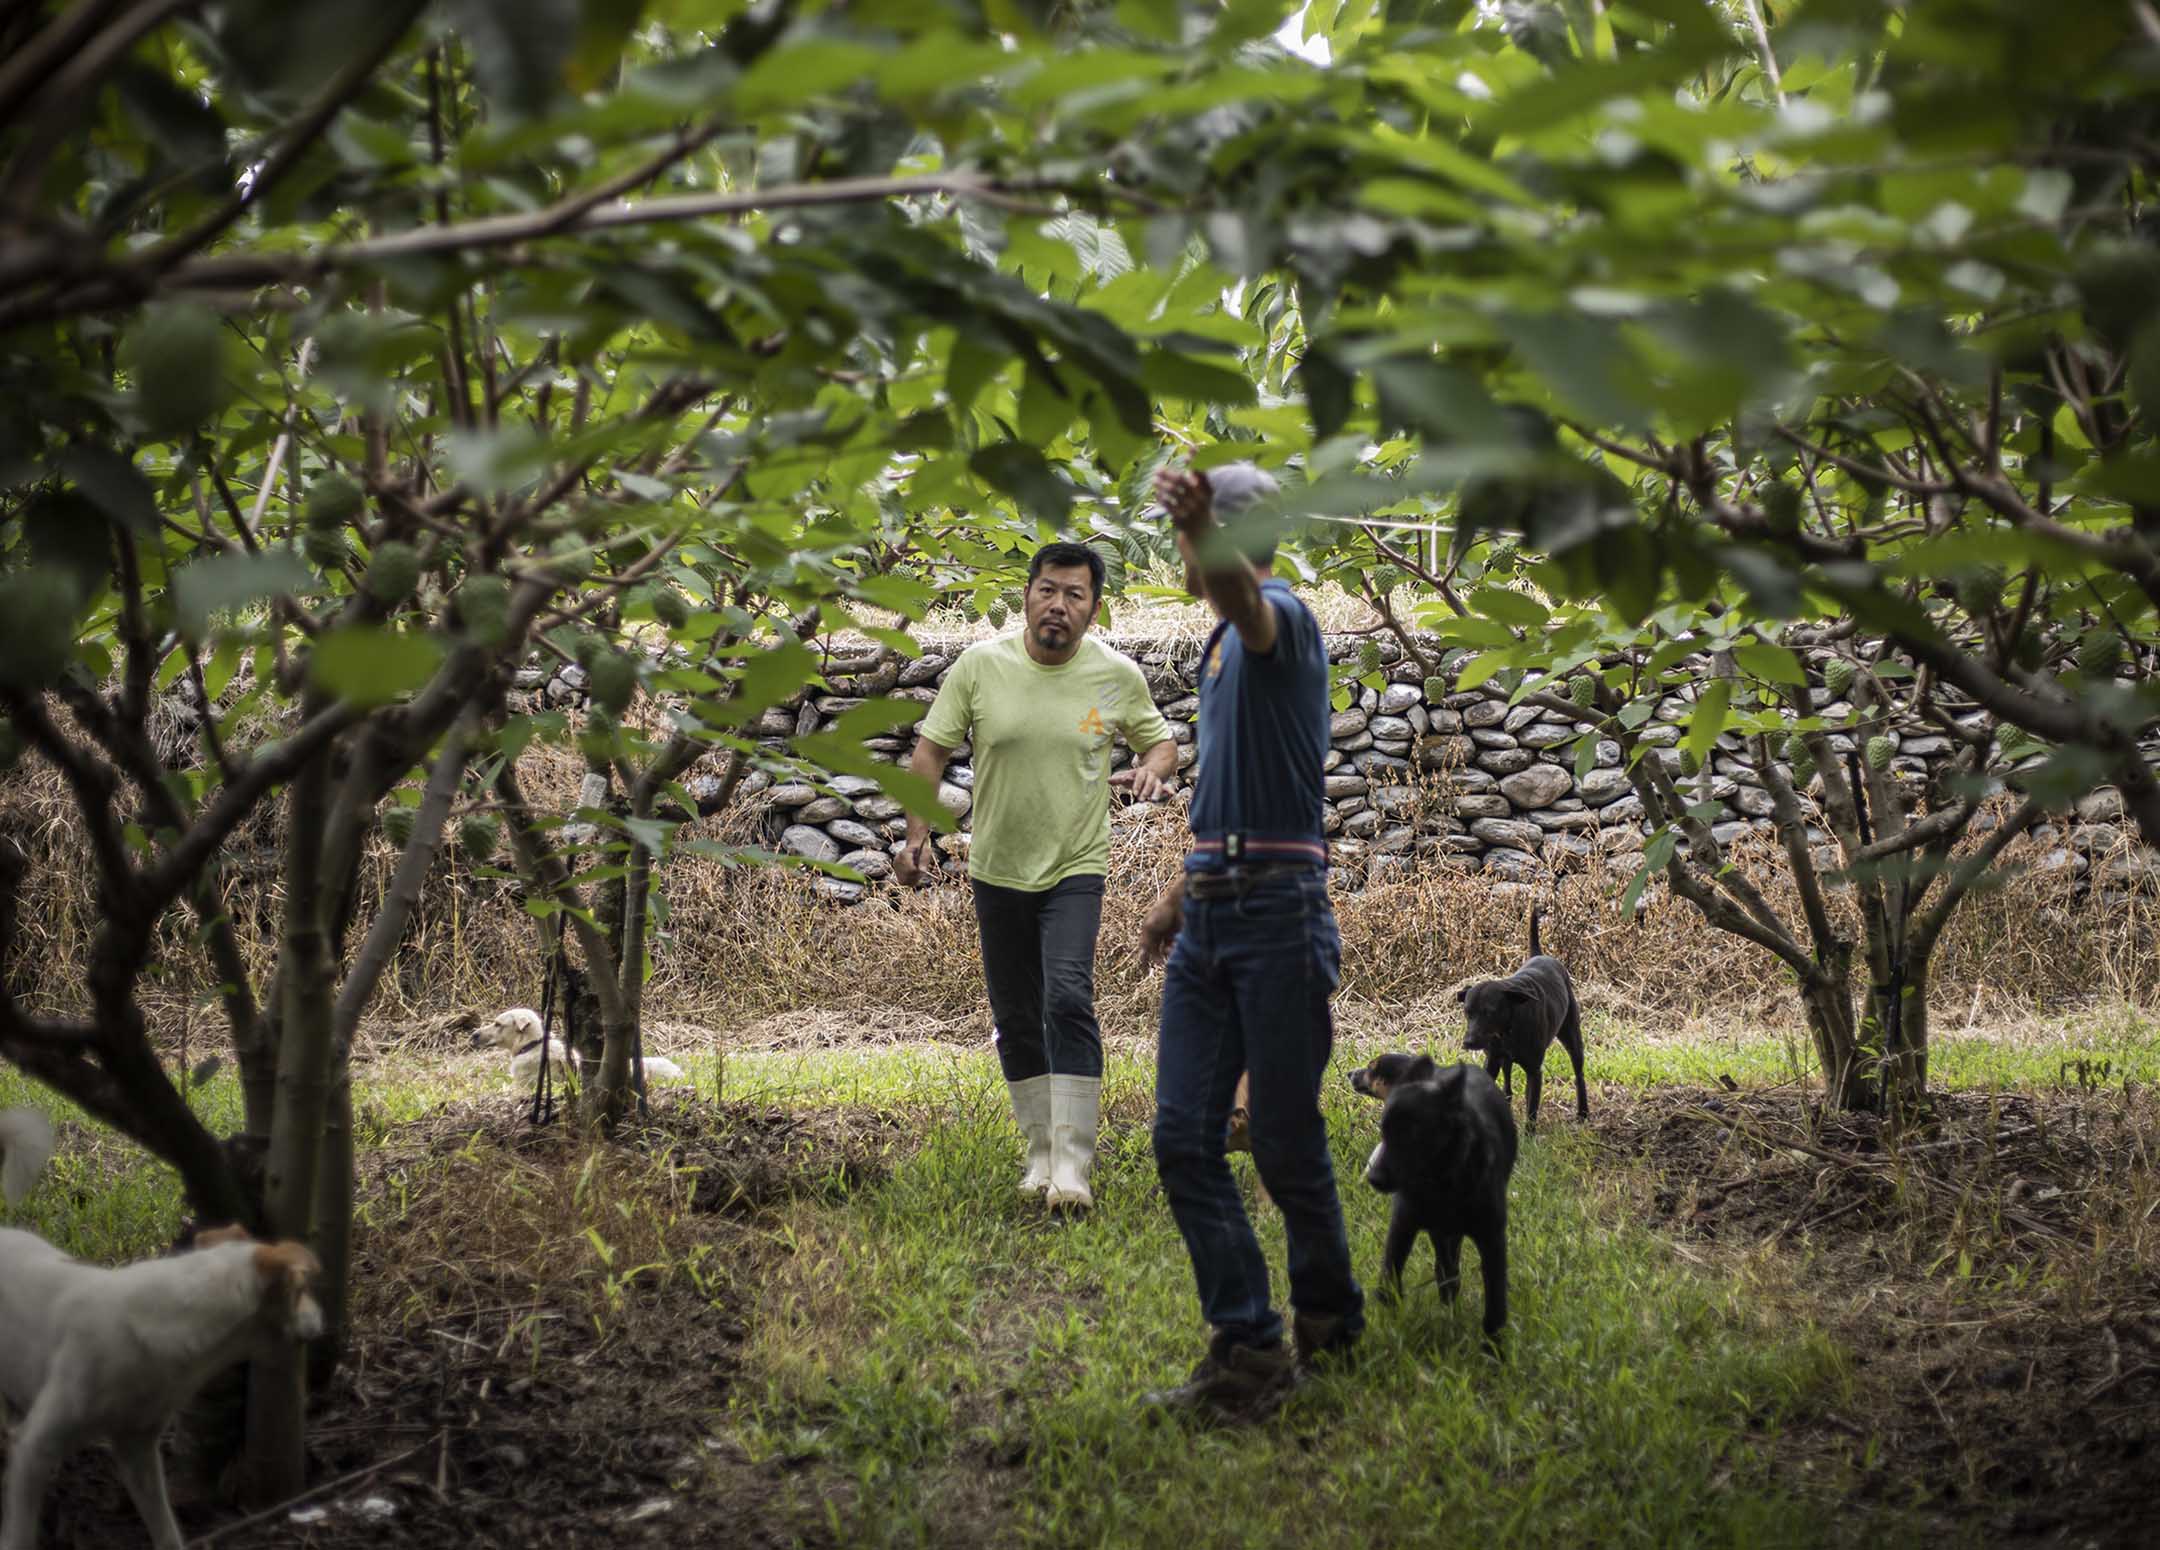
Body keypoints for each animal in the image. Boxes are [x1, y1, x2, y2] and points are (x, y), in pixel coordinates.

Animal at [0, 1105, 324, 1550]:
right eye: (303, 1289)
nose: (322, 1323)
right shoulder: (36, 1448)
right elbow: (17, 1533)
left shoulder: (137, 1448)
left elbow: (167, 1532)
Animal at [1356, 1062, 1512, 1338]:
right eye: (1383, 1132)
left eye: (1413, 1134)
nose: (1373, 1178)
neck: (1440, 1181)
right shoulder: (1404, 1224)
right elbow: (1389, 1279)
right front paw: (1391, 1321)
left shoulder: (1491, 1238)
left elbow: (1495, 1304)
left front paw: (1492, 1345)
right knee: (1445, 1269)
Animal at [1451, 911, 1589, 1131]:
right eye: (1467, 1012)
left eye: (1489, 1012)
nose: (1469, 1042)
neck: (1507, 1030)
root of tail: (1539, 955)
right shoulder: (1492, 1060)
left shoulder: (1534, 1071)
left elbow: (1531, 1107)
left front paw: (1529, 1134)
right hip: (1505, 1060)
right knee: (1507, 1081)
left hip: (1572, 1036)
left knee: (1579, 1074)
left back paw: (1583, 1111)